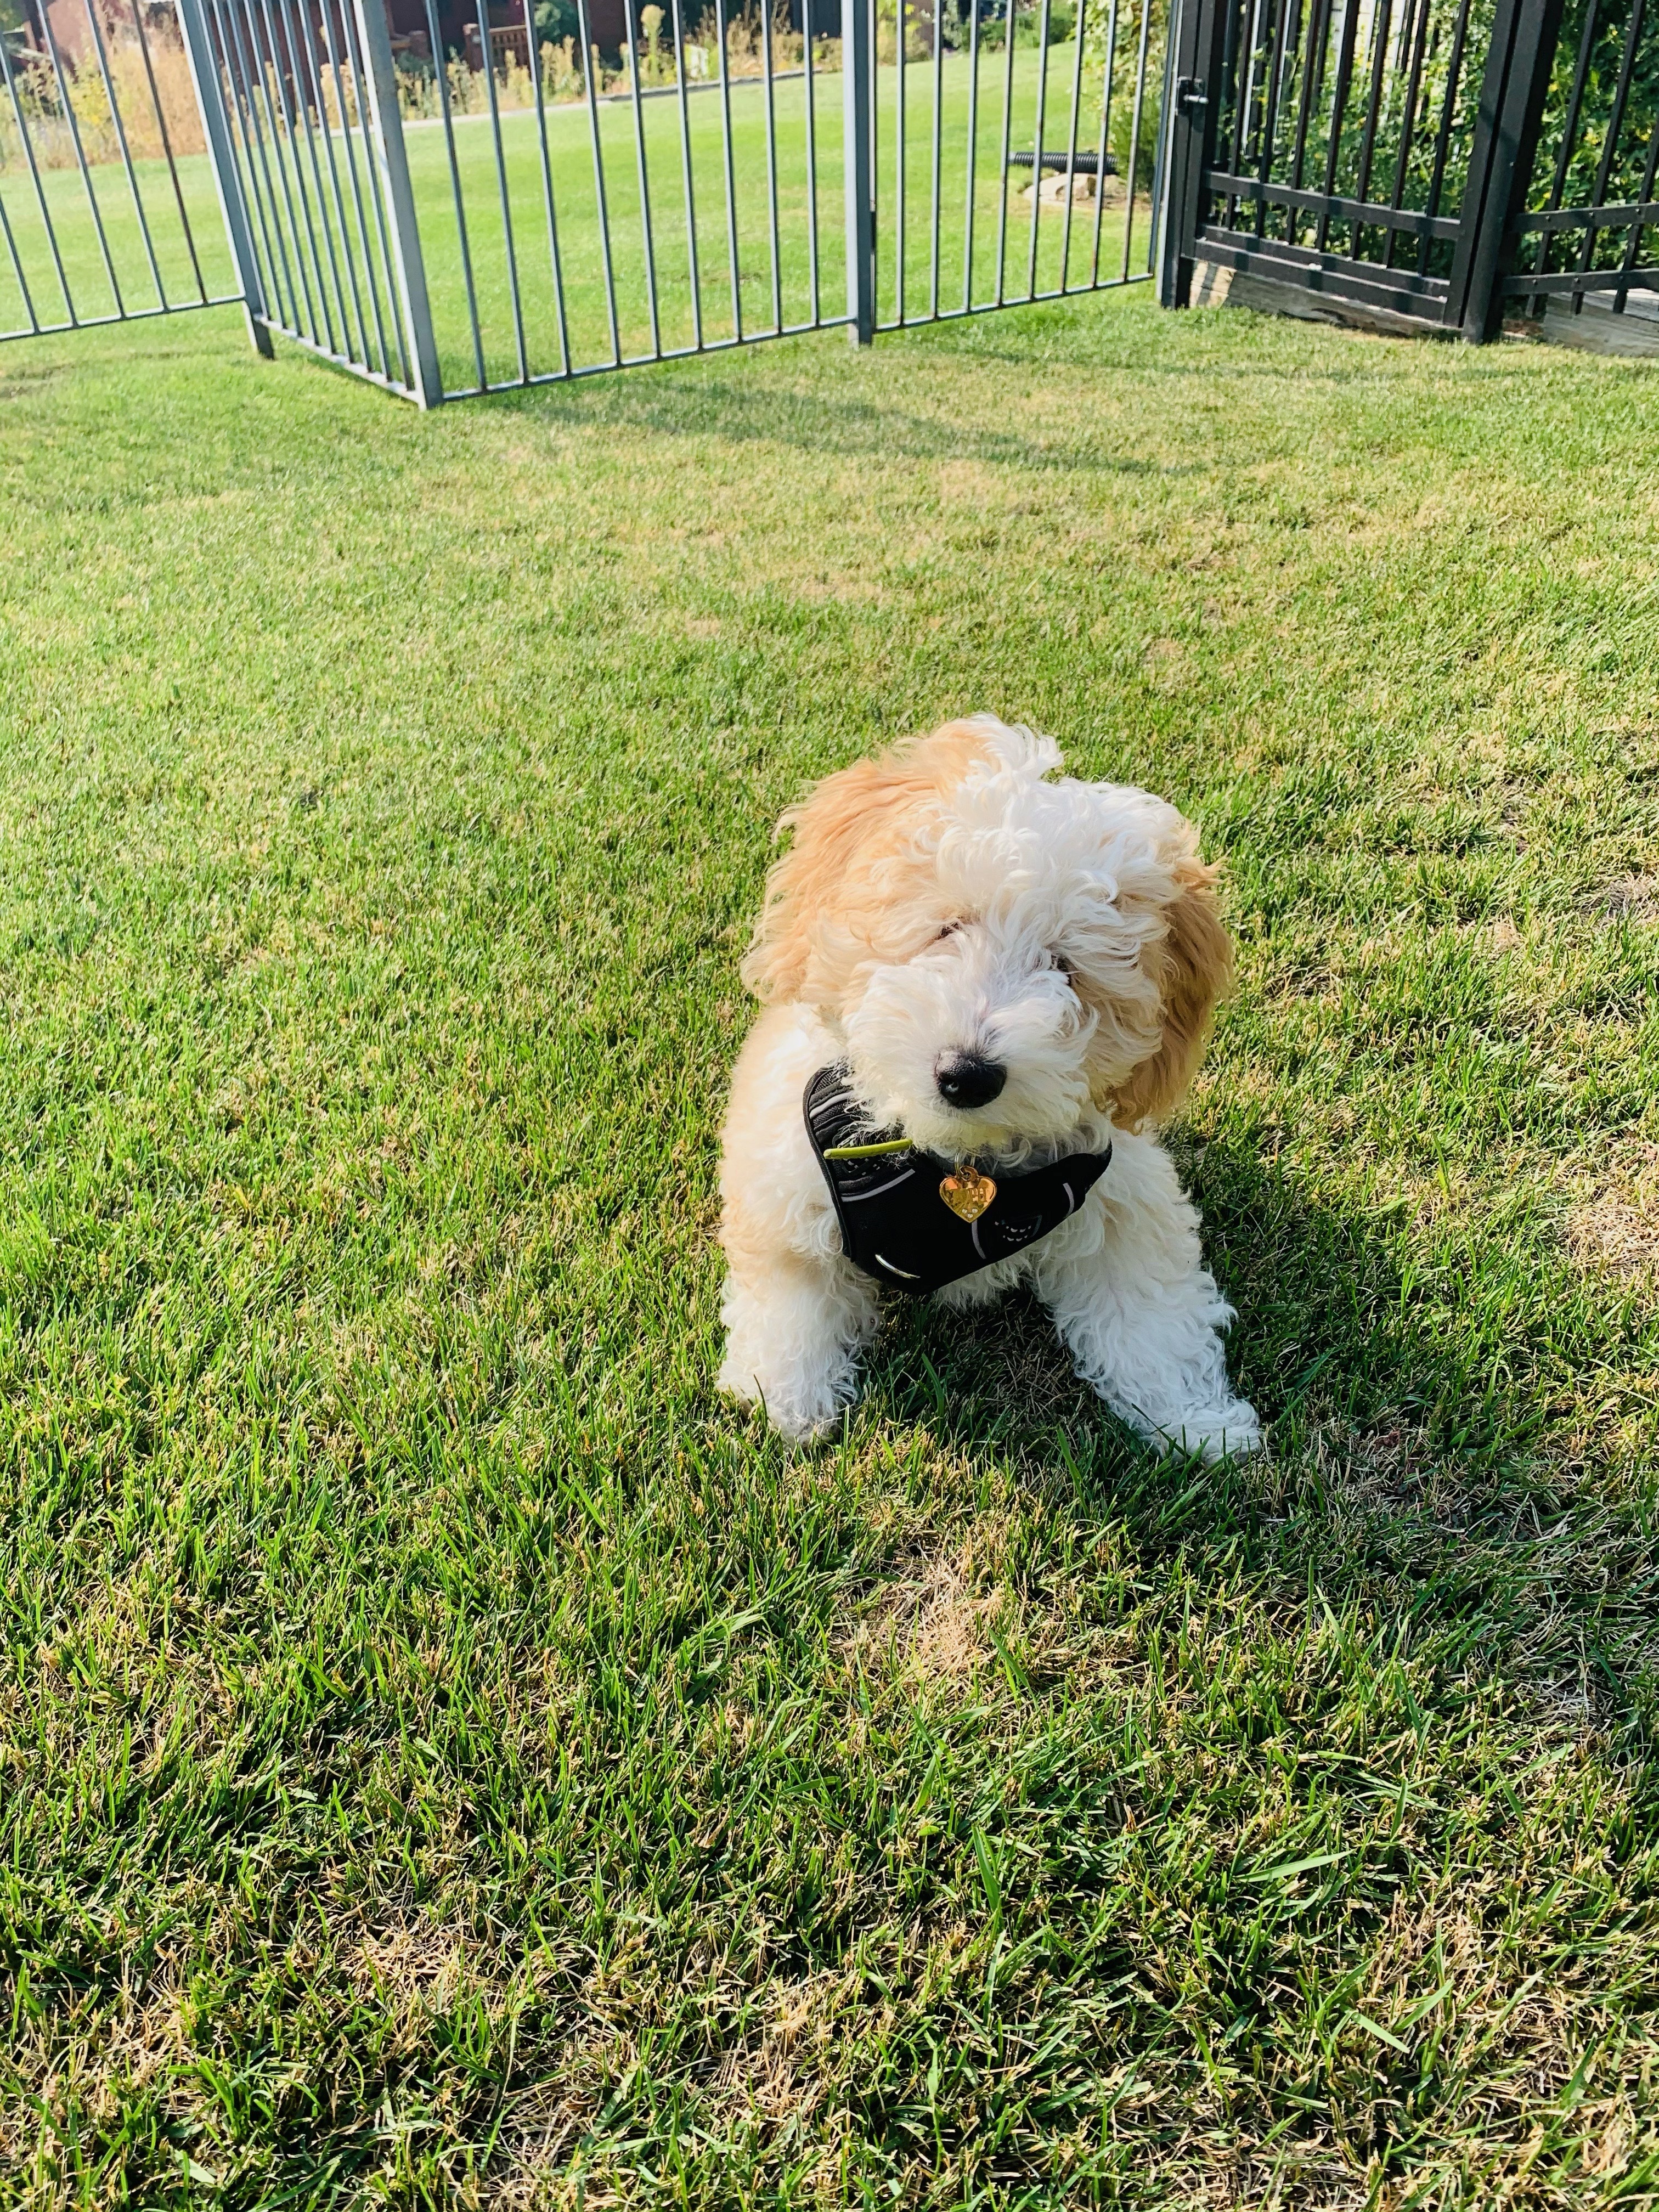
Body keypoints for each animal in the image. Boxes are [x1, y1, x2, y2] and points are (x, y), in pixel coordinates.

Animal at [716, 716, 1256, 1460]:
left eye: (1064, 968)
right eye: (949, 928)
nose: (966, 1073)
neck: (954, 1159)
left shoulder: (1122, 1191)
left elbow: (1152, 1310)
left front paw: (1195, 1421)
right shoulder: (784, 1176)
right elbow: (792, 1292)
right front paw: (786, 1394)